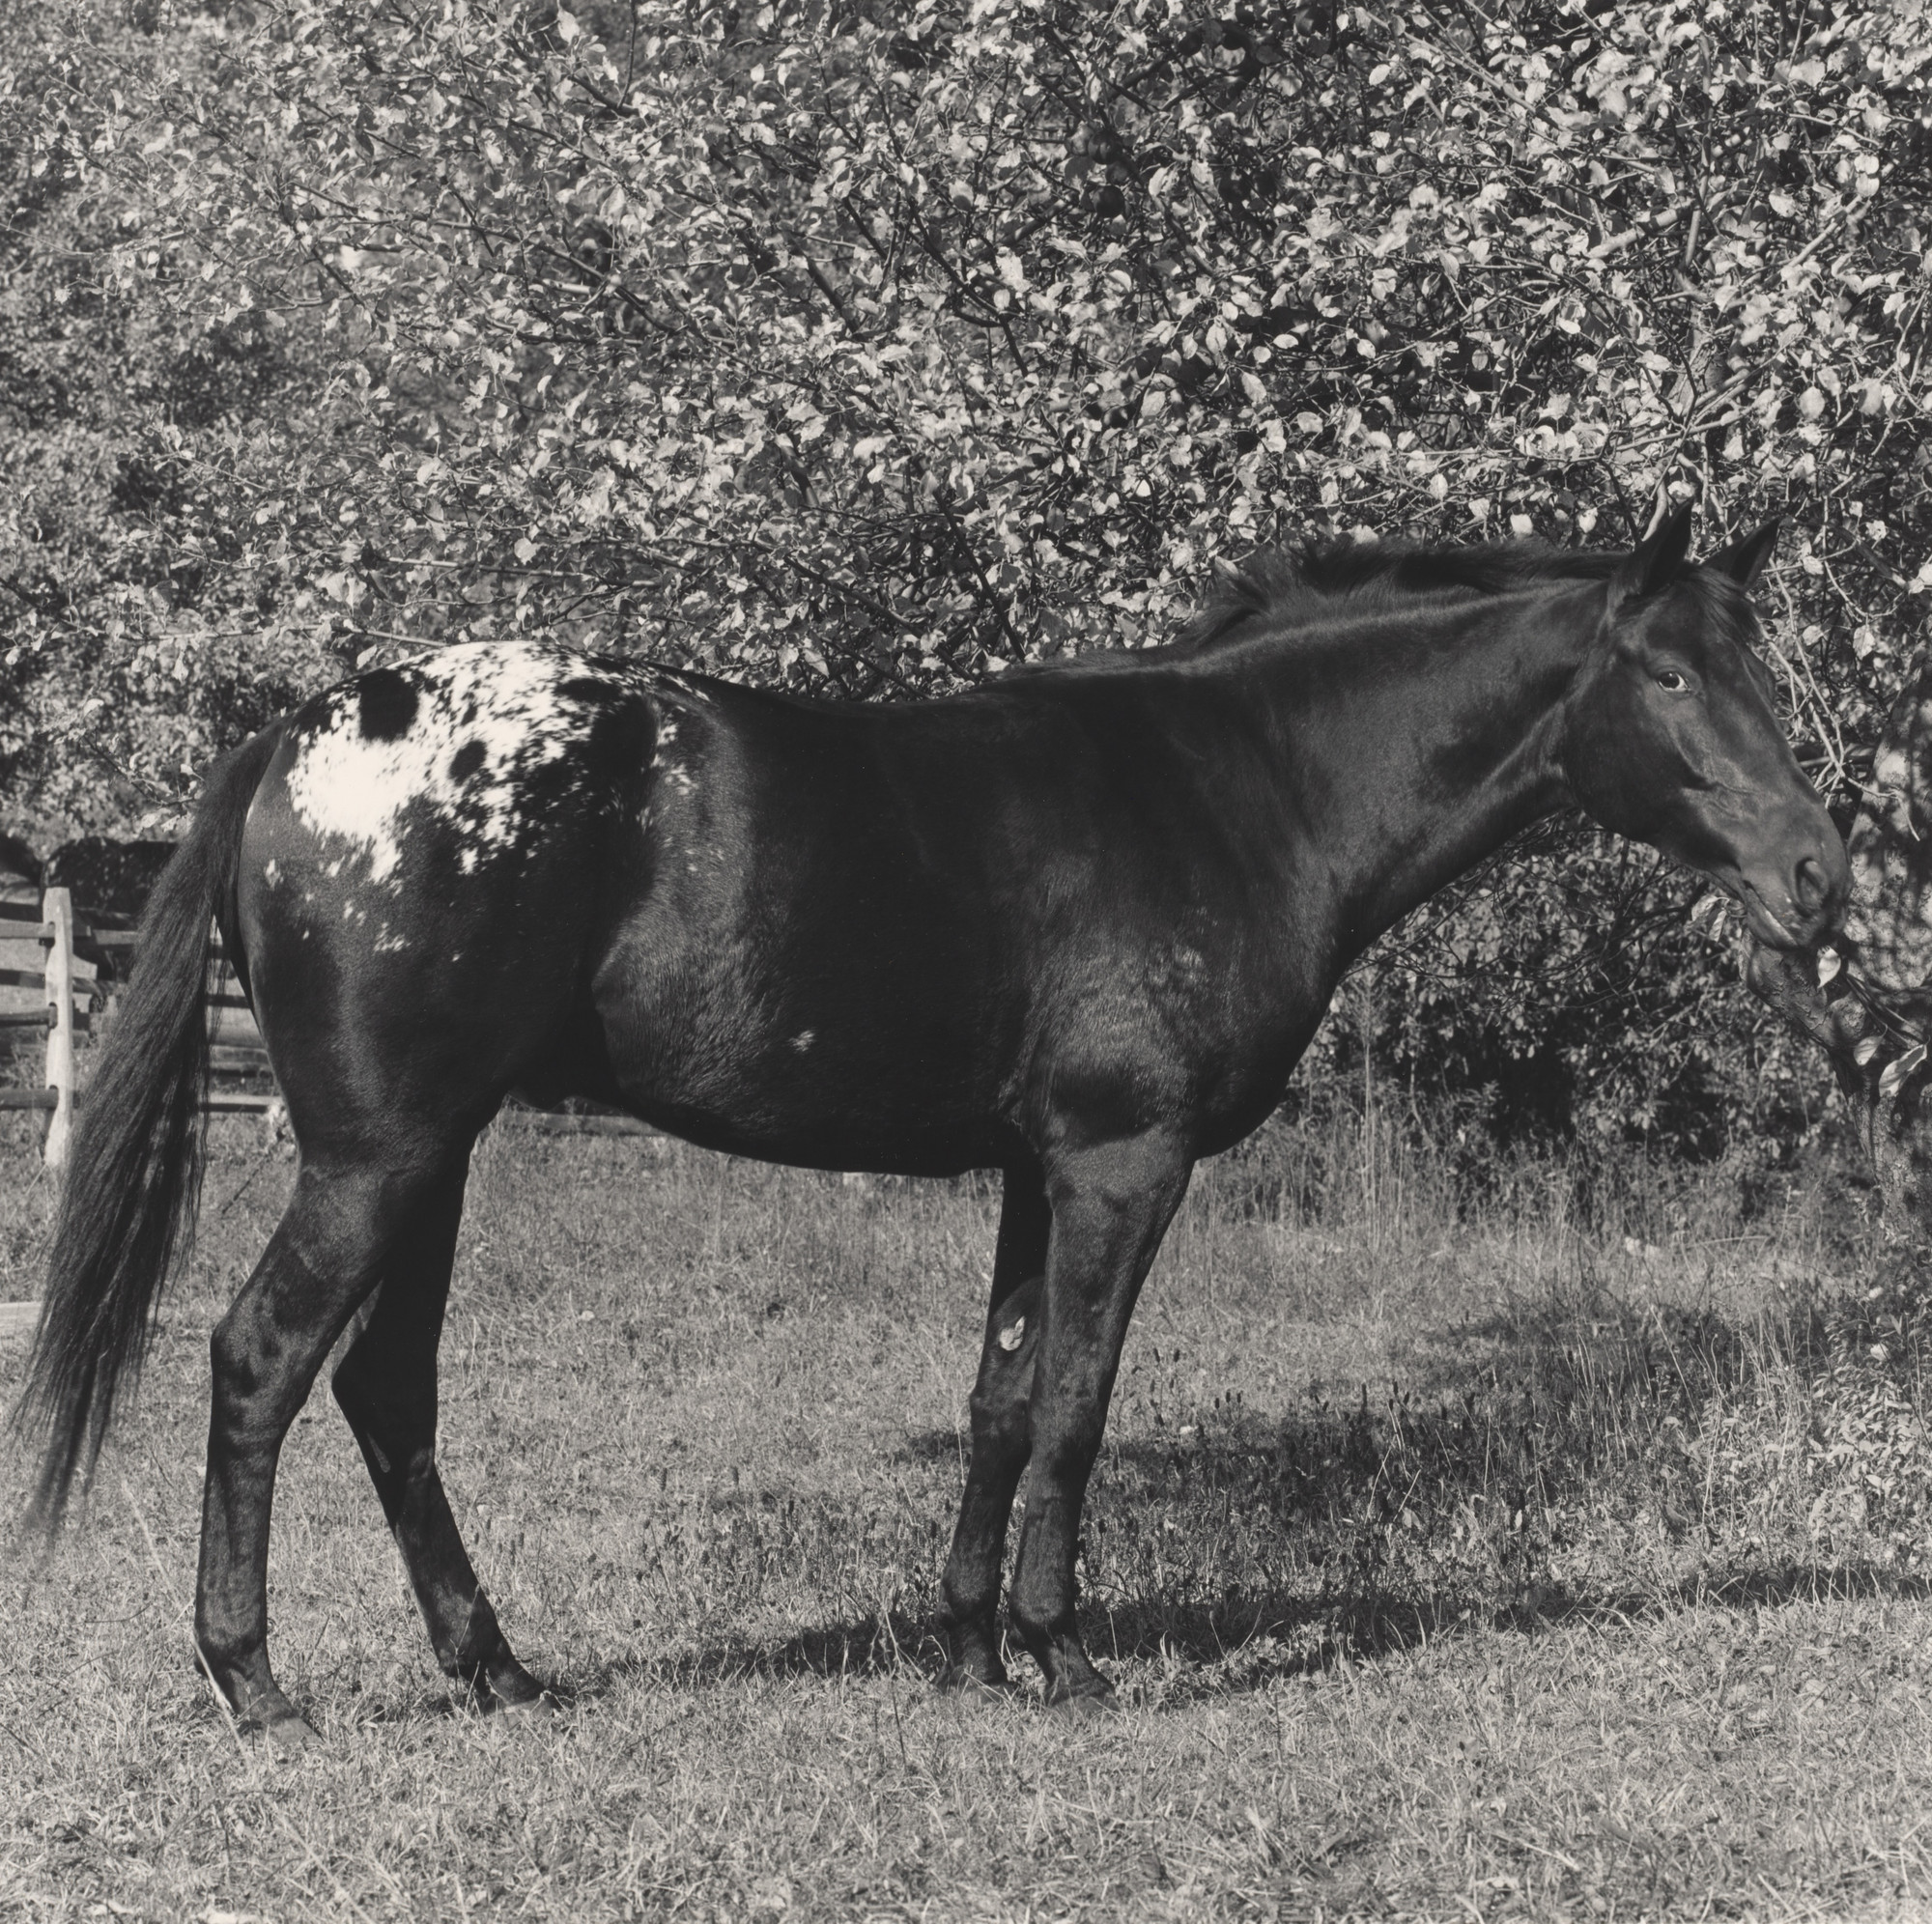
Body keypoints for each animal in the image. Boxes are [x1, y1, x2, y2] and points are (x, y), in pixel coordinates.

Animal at [16, 504, 1847, 1743]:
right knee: (260, 1361)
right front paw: (1064, 1652)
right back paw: (254, 1679)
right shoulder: (1121, 1162)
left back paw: (498, 1667)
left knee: (386, 1394)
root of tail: (296, 737)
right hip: (378, 1157)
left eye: (1761, 666)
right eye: (1667, 673)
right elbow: (1079, 1406)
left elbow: (1000, 1396)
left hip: (439, 1158)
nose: (1821, 872)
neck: (1236, 789)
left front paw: (967, 1648)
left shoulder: (1038, 1168)